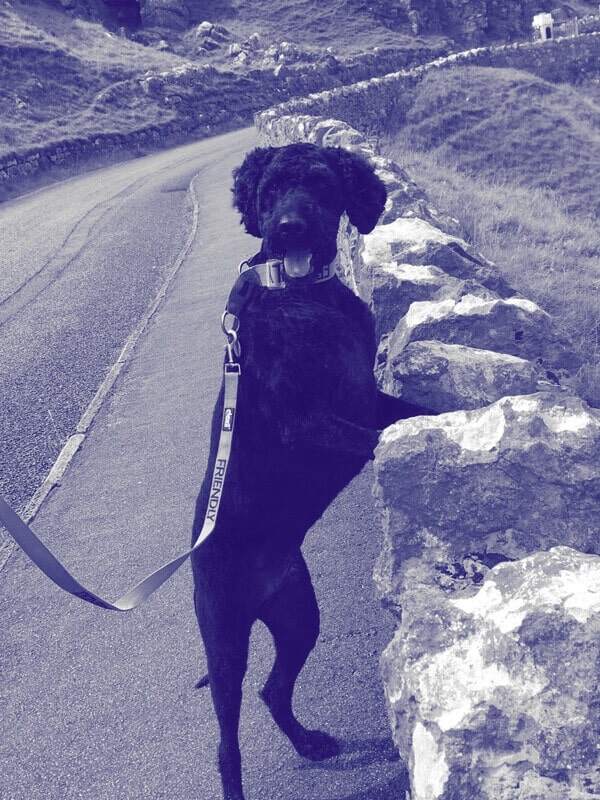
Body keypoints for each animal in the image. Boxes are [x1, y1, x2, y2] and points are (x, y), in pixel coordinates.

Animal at [191, 144, 422, 800]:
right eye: (270, 191)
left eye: (320, 184)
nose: (288, 228)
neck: (302, 298)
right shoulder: (312, 422)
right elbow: (377, 439)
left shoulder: (366, 396)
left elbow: (422, 410)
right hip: (225, 638)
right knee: (226, 742)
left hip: (298, 617)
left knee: (274, 689)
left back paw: (309, 743)